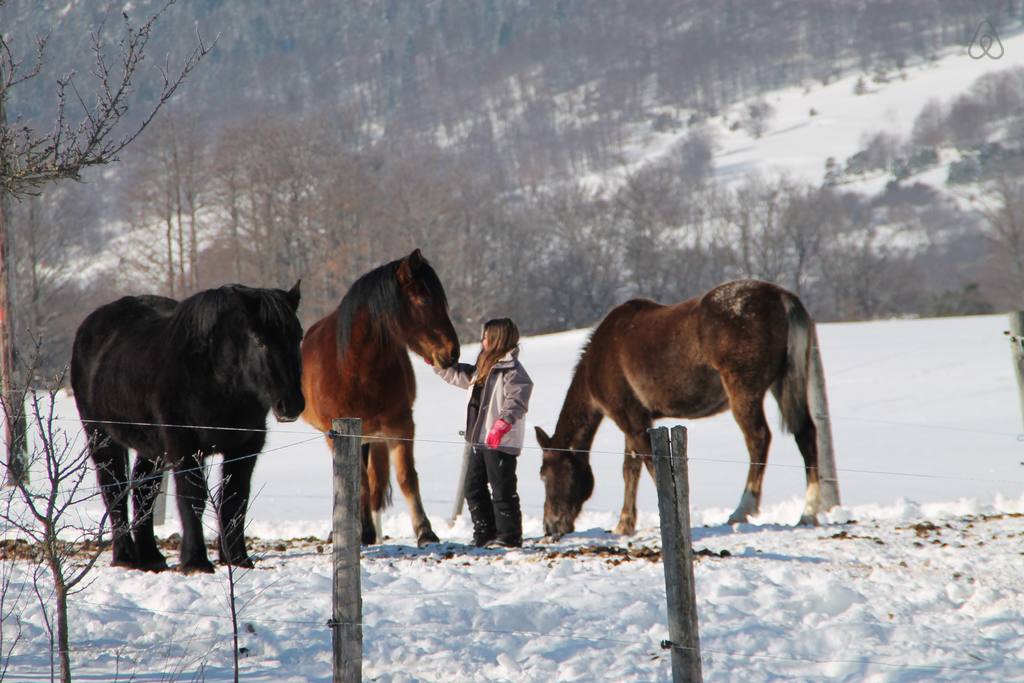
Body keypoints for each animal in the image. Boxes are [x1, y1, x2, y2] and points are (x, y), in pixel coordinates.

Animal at [70, 283, 304, 573]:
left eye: (297, 337)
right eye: (259, 340)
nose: (291, 404)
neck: (215, 378)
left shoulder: (243, 449)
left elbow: (235, 499)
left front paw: (238, 559)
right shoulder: (185, 448)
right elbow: (193, 498)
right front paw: (195, 561)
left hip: (151, 449)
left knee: (143, 492)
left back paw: (151, 557)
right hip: (102, 436)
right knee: (113, 490)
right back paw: (124, 556)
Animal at [301, 249, 460, 547]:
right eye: (423, 299)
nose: (451, 352)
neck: (356, 368)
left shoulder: (400, 426)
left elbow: (406, 477)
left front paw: (425, 532)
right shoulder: (341, 434)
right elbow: (358, 482)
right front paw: (359, 532)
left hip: (373, 439)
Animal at [534, 279, 835, 539]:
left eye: (544, 474)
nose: (550, 526)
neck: (601, 358)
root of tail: (781, 297)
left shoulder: (630, 418)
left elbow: (649, 465)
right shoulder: (636, 419)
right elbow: (630, 470)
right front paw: (624, 524)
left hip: (745, 392)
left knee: (759, 438)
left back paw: (742, 510)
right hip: (784, 383)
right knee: (805, 434)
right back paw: (808, 513)